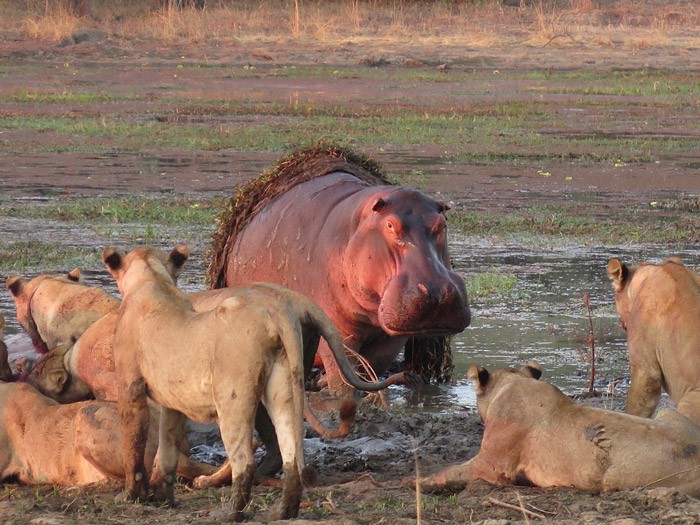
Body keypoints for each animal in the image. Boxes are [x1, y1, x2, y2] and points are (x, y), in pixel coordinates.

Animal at [101, 246, 314, 520]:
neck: (152, 279)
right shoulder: (173, 401)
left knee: (244, 461)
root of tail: (276, 313)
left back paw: (229, 514)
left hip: (232, 396)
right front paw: (162, 497)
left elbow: (133, 443)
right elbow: (167, 447)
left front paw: (131, 496)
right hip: (283, 386)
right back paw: (283, 511)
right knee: (290, 451)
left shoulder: (130, 386)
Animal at [416, 362, 700, 498]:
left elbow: (450, 472)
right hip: (668, 413)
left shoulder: (492, 466)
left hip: (615, 479)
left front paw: (416, 482)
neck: (512, 384)